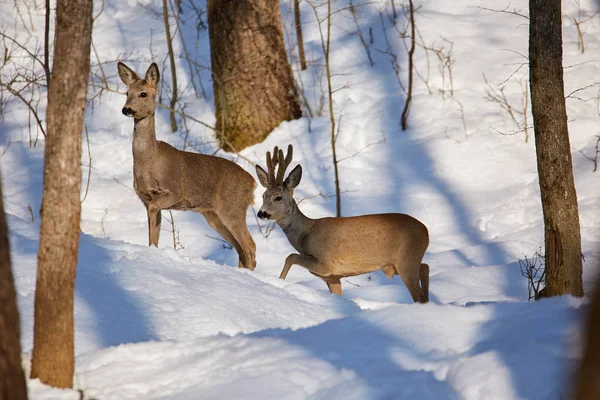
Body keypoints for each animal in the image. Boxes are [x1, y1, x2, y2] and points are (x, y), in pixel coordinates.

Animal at [118, 61, 256, 268]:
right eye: (127, 92)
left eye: (143, 94)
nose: (126, 109)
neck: (149, 161)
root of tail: (253, 182)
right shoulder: (146, 199)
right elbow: (153, 235)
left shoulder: (174, 191)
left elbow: (154, 220)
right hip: (213, 215)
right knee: (241, 248)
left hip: (232, 208)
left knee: (249, 247)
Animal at [255, 145, 428, 302]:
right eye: (263, 196)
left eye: (278, 197)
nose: (261, 213)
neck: (305, 233)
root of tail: (426, 231)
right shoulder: (332, 277)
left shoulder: (325, 263)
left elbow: (290, 257)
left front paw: (279, 282)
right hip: (395, 264)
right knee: (425, 267)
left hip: (407, 258)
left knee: (418, 294)